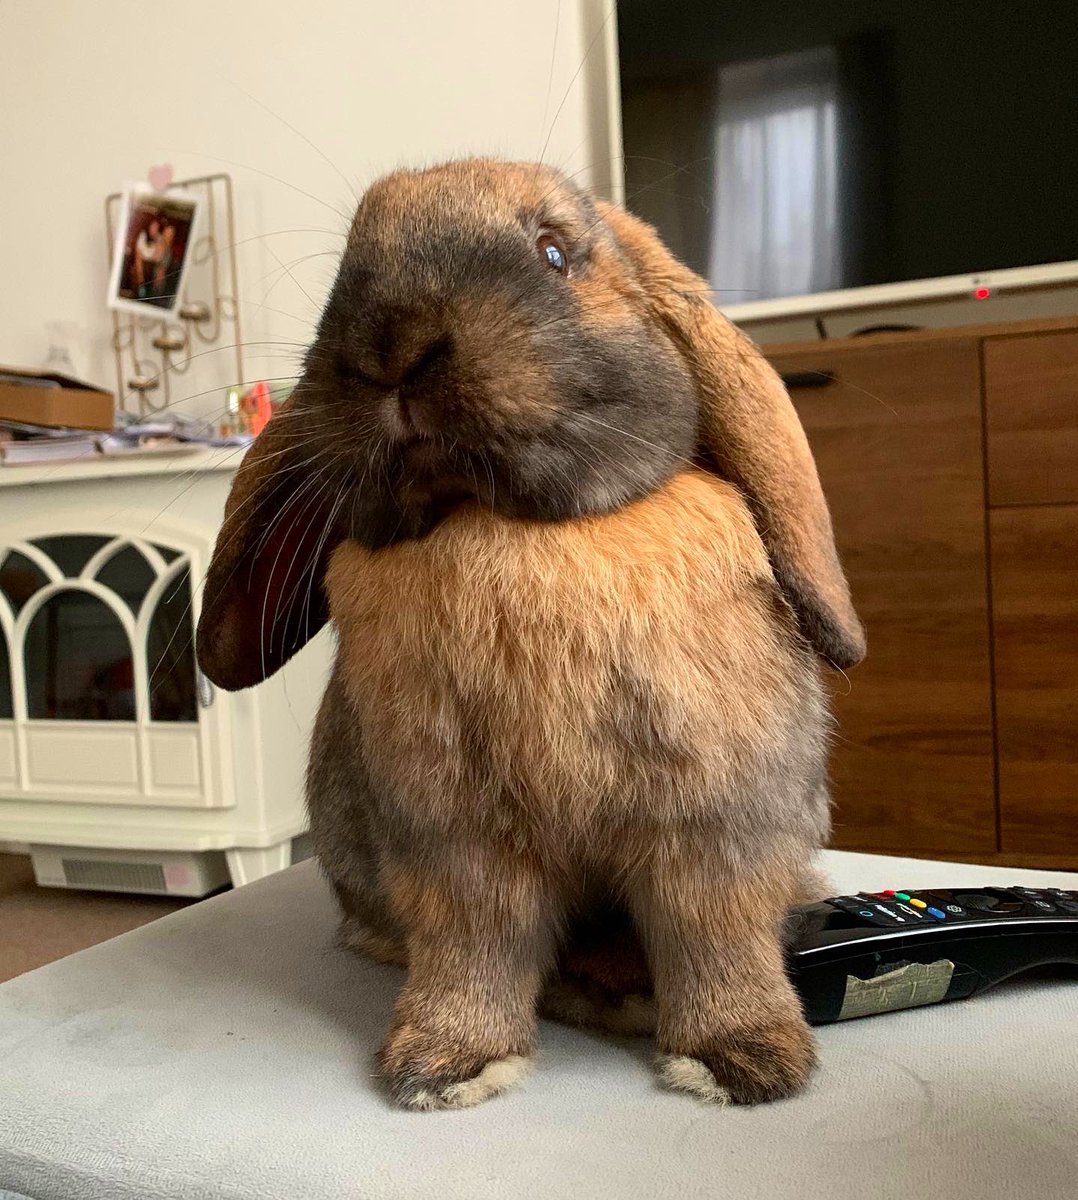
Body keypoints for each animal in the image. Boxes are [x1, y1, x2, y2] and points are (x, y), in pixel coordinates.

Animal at [196, 158, 865, 1111]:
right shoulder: (455, 845)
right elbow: (472, 949)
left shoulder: (714, 831)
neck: (508, 525)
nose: (393, 345)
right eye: (345, 269)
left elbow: (716, 940)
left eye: (554, 251)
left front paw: (746, 1061)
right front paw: (444, 1065)